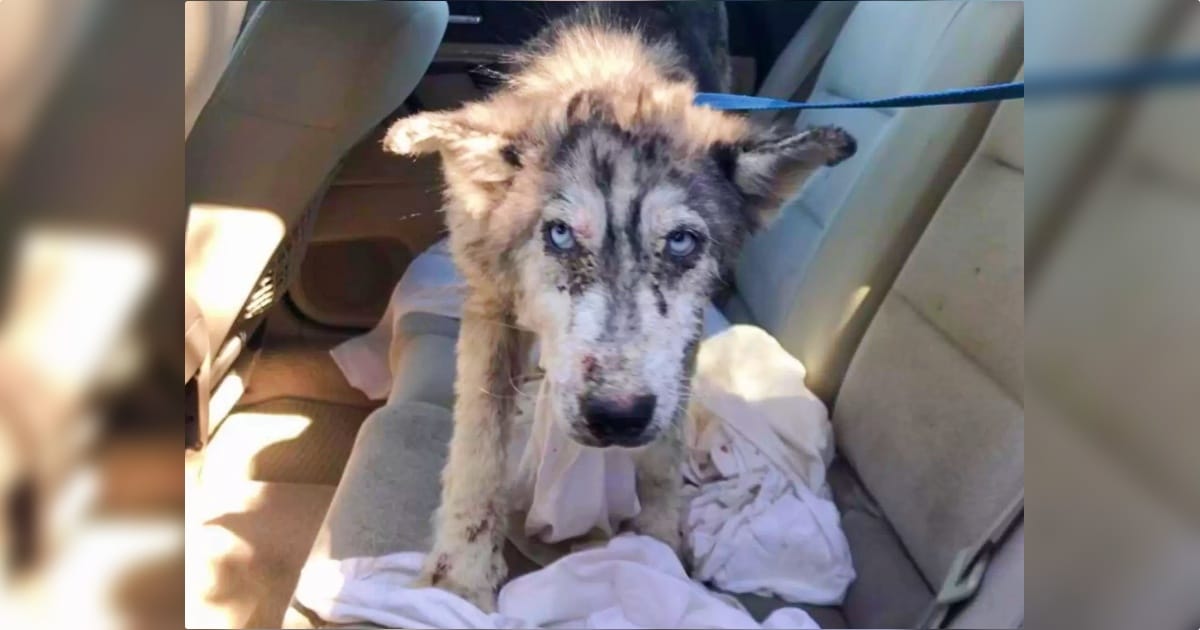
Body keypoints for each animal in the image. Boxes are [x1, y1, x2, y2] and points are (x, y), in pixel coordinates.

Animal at [384, 2, 854, 607]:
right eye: (560, 234)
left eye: (681, 242)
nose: (616, 416)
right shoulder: (490, 304)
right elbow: (478, 445)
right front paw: (461, 574)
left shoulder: (684, 334)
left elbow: (662, 454)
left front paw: (659, 544)